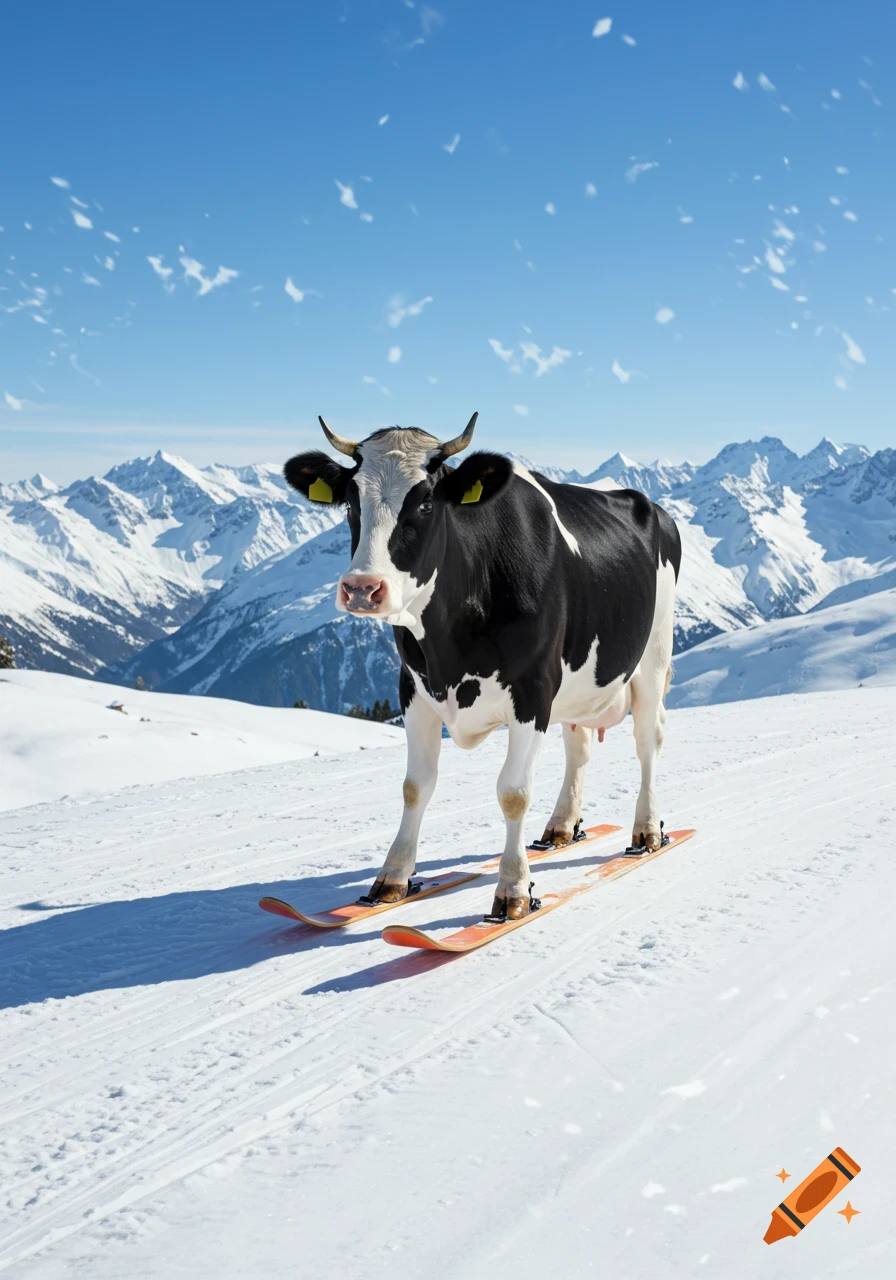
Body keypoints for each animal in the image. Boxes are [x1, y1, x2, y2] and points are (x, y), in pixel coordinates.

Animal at [285, 414, 681, 920]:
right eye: (351, 502)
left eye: (427, 502)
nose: (361, 588)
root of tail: (645, 502)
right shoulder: (412, 687)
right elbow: (415, 786)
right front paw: (392, 879)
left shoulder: (532, 689)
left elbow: (513, 792)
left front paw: (513, 891)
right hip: (579, 683)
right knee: (579, 746)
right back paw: (561, 828)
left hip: (653, 652)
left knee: (648, 738)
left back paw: (647, 832)